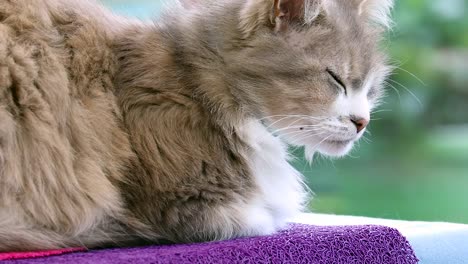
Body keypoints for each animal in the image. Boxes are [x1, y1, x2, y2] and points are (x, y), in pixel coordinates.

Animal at [0, 0, 394, 251]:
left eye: (370, 89)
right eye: (335, 79)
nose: (362, 122)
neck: (198, 80)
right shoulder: (191, 205)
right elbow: (271, 216)